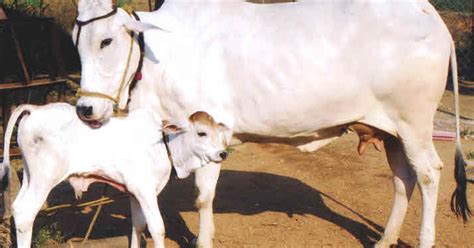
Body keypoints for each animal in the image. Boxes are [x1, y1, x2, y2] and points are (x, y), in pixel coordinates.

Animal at [0, 102, 230, 248]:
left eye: (219, 133)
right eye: (201, 133)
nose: (223, 153)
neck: (163, 144)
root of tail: (35, 109)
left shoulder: (134, 193)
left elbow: (138, 226)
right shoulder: (145, 191)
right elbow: (157, 228)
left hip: (30, 177)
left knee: (17, 208)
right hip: (44, 178)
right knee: (25, 213)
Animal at [72, 0, 468, 247]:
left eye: (106, 40)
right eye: (77, 42)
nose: (86, 109)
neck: (160, 58)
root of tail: (427, 12)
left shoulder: (209, 128)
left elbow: (203, 197)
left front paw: (203, 239)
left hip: (415, 123)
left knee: (429, 174)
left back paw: (424, 239)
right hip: (391, 132)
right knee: (403, 180)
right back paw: (385, 238)